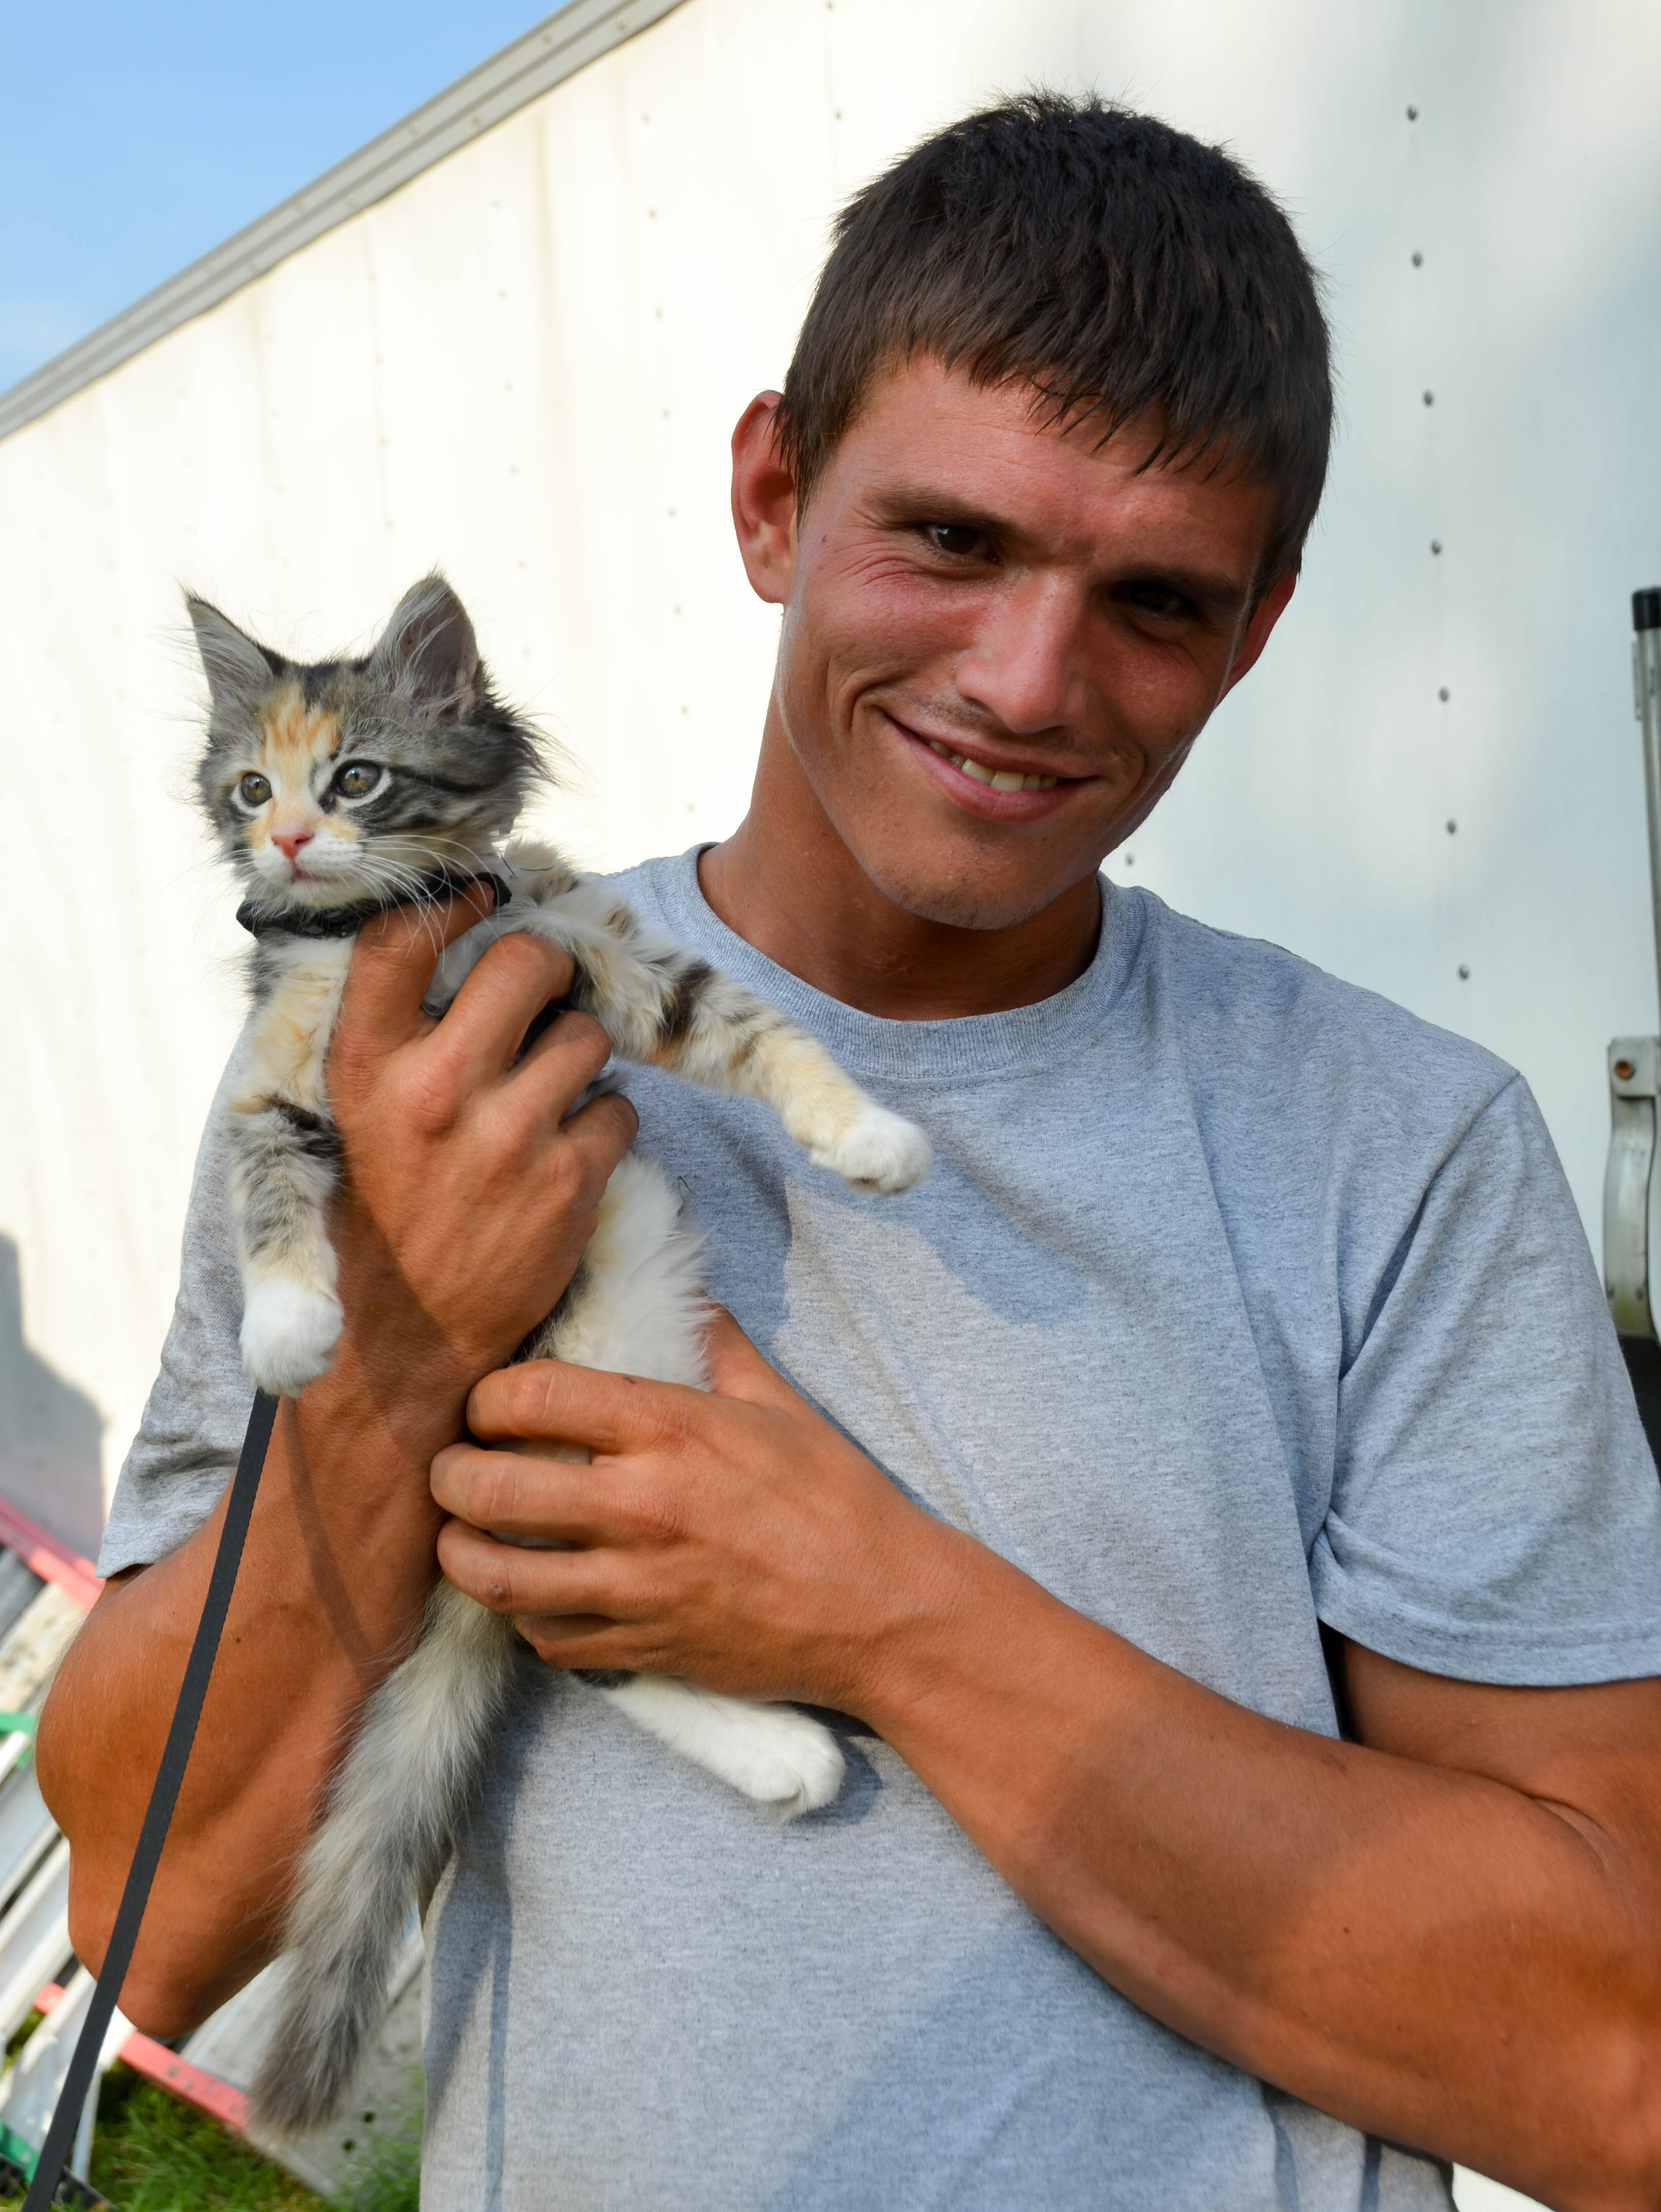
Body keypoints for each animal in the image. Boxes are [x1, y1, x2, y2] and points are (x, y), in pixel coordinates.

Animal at [188, 579, 937, 2132]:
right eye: (251, 789)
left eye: (357, 777)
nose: (286, 841)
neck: (385, 929)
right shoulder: (274, 1074)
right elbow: (269, 1186)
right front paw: (289, 1331)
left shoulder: (598, 954)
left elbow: (762, 1031)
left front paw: (871, 1140)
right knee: (570, 1649)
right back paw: (786, 1756)